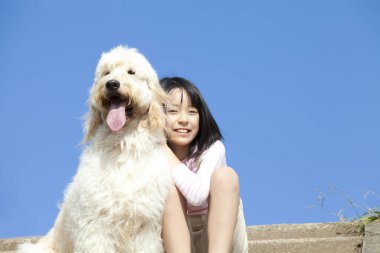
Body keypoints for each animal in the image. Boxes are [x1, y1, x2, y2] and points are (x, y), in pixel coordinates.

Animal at [17, 46, 172, 253]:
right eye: (106, 73)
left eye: (131, 72)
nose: (112, 84)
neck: (122, 146)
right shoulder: (96, 224)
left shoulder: (146, 226)